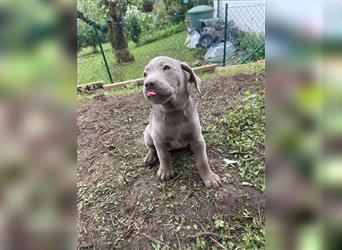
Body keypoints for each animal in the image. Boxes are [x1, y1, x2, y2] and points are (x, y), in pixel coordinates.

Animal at [143, 55, 220, 188]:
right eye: (144, 74)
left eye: (166, 67)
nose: (147, 84)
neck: (174, 112)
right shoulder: (159, 141)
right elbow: (163, 156)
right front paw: (165, 171)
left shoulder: (197, 138)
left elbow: (202, 160)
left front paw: (209, 177)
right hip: (147, 134)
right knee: (152, 148)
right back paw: (150, 157)